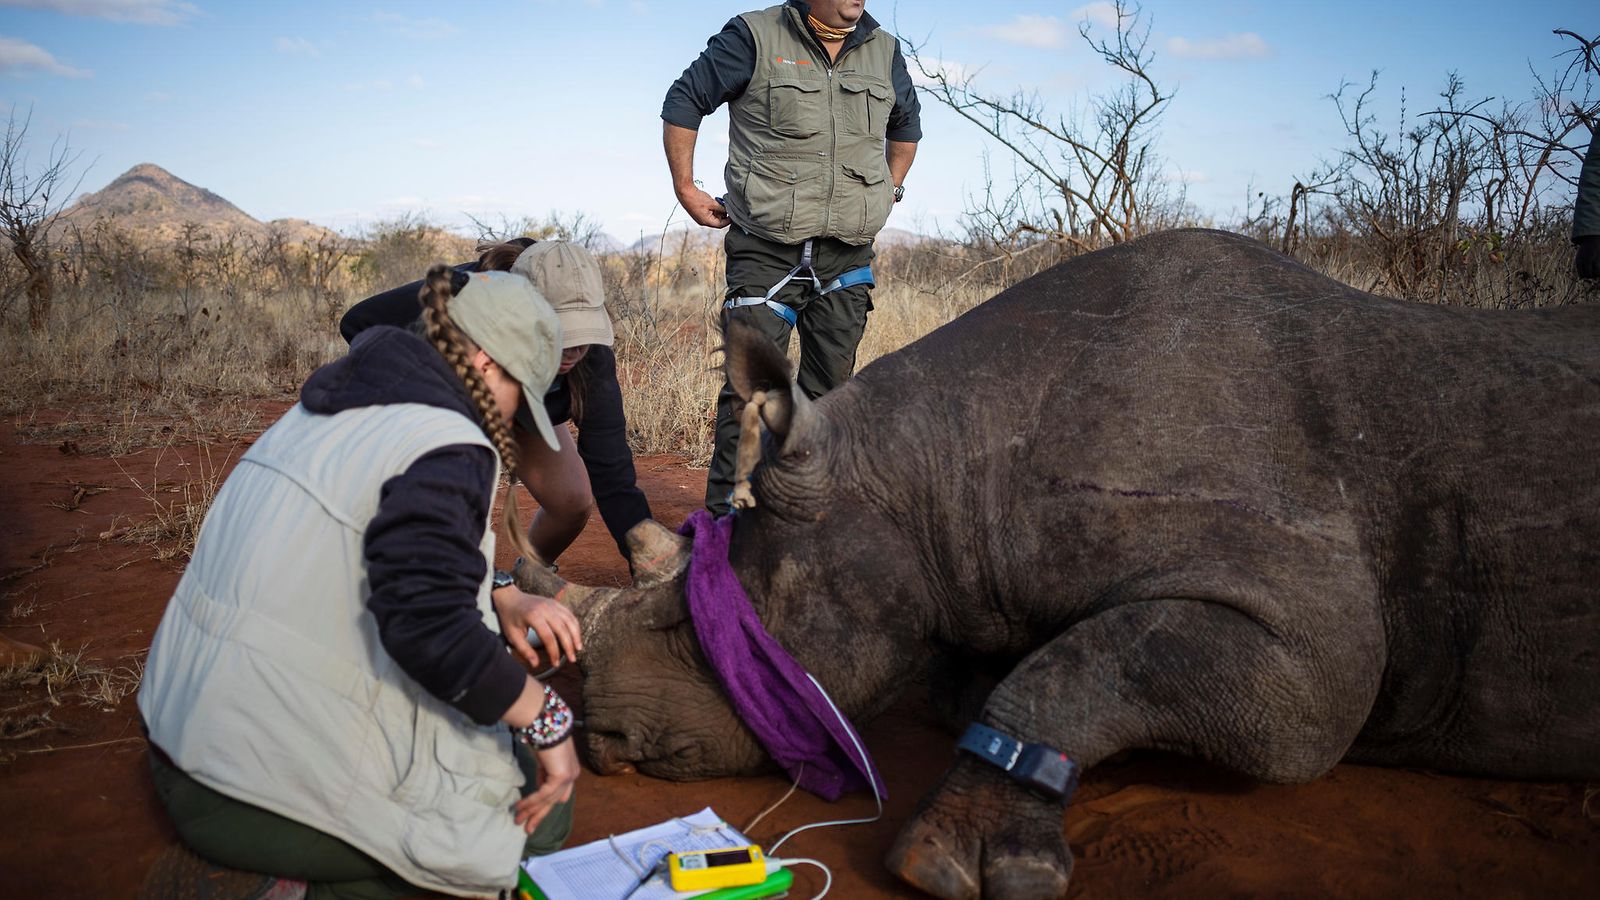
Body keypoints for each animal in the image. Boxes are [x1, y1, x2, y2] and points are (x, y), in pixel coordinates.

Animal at [518, 227, 1593, 890]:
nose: (604, 741)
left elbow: (1095, 664)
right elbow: (1017, 664)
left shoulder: (1304, 630)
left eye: (690, 620)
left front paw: (944, 863)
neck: (931, 473)